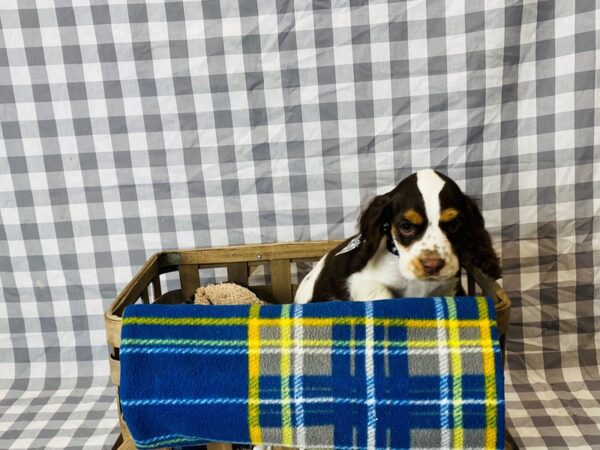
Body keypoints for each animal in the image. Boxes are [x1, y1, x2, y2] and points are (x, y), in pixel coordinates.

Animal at [296, 171, 502, 304]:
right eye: (406, 227)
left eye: (454, 225)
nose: (432, 265)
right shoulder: (359, 281)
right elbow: (382, 295)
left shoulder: (450, 287)